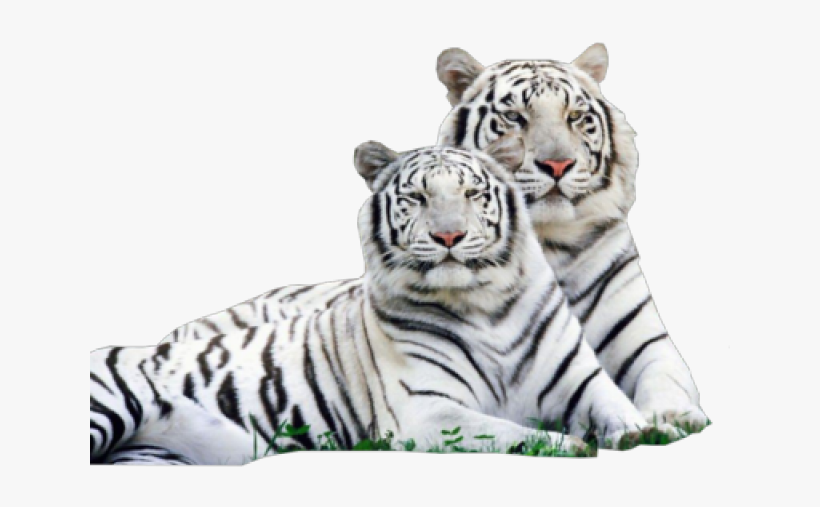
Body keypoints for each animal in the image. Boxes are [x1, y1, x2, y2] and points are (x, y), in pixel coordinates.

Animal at [91, 141, 667, 465]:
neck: (486, 306)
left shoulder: (581, 380)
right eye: (417, 197)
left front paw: (647, 432)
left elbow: (617, 405)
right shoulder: (425, 410)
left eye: (472, 194)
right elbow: (505, 431)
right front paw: (571, 445)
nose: (449, 236)